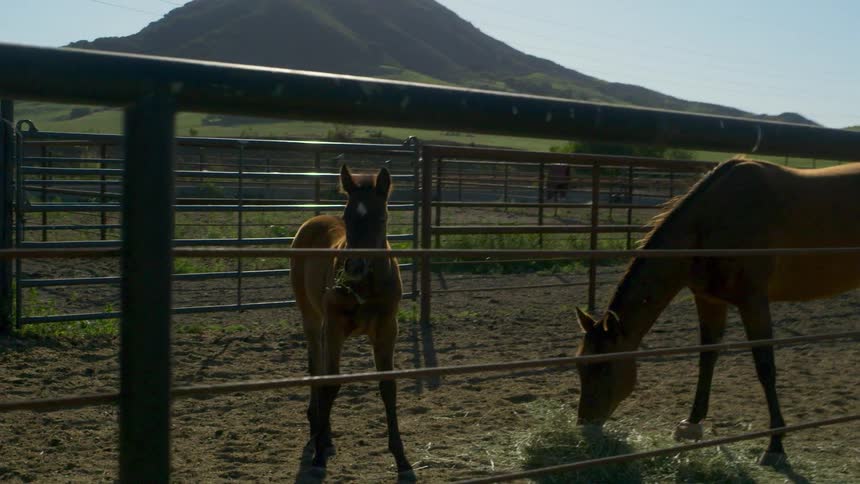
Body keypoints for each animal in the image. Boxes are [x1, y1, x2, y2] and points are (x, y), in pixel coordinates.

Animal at [290, 164, 413, 478]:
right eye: (347, 216)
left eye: (381, 217)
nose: (354, 267)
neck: (365, 286)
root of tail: (314, 220)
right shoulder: (333, 329)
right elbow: (330, 384)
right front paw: (319, 454)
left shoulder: (387, 330)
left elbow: (388, 387)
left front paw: (402, 459)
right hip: (311, 319)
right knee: (316, 369)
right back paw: (318, 430)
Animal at [574, 156, 860, 466]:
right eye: (580, 364)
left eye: (604, 366)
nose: (585, 426)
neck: (713, 221)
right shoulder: (709, 300)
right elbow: (707, 357)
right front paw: (691, 423)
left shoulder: (754, 302)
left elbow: (765, 367)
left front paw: (775, 445)